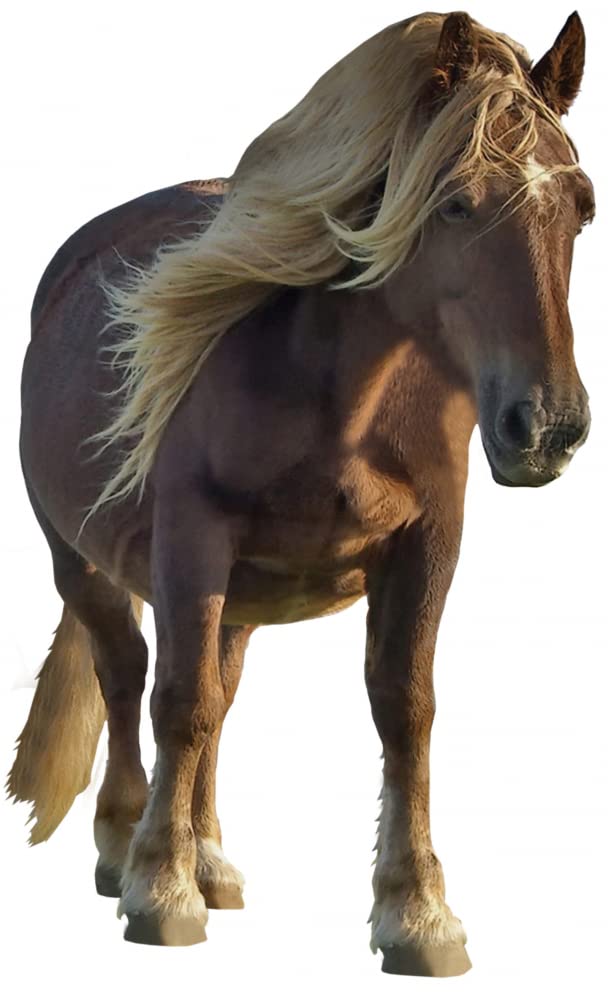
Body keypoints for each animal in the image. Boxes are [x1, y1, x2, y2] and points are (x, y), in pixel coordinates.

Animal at [7, 9, 594, 976]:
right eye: (455, 202)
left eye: (580, 207)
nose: (546, 425)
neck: (337, 391)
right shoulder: (191, 544)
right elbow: (176, 703)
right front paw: (159, 891)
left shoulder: (428, 544)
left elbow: (405, 709)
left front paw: (417, 914)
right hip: (83, 560)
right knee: (129, 675)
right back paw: (125, 842)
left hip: (241, 596)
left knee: (218, 694)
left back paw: (209, 857)